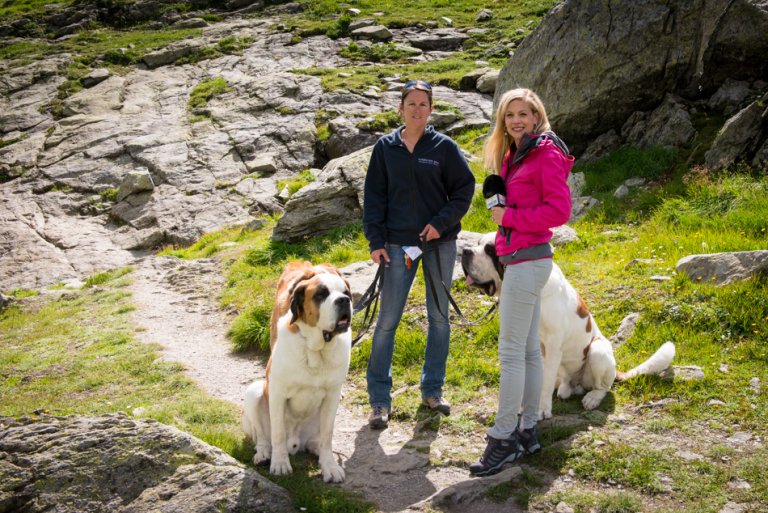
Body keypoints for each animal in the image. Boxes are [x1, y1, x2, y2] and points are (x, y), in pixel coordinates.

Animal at [243, 262, 354, 482]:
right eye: (321, 294)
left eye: (346, 293)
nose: (344, 300)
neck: (316, 350)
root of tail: (295, 444)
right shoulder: (277, 392)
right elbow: (277, 432)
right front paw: (279, 464)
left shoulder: (332, 395)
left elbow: (328, 434)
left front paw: (329, 466)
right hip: (254, 392)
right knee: (263, 438)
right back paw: (264, 454)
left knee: (319, 440)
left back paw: (318, 451)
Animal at [460, 234, 676, 418]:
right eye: (477, 243)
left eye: (490, 249)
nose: (465, 251)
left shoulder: (553, 346)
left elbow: (545, 384)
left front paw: (541, 410)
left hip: (598, 349)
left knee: (603, 387)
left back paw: (592, 398)